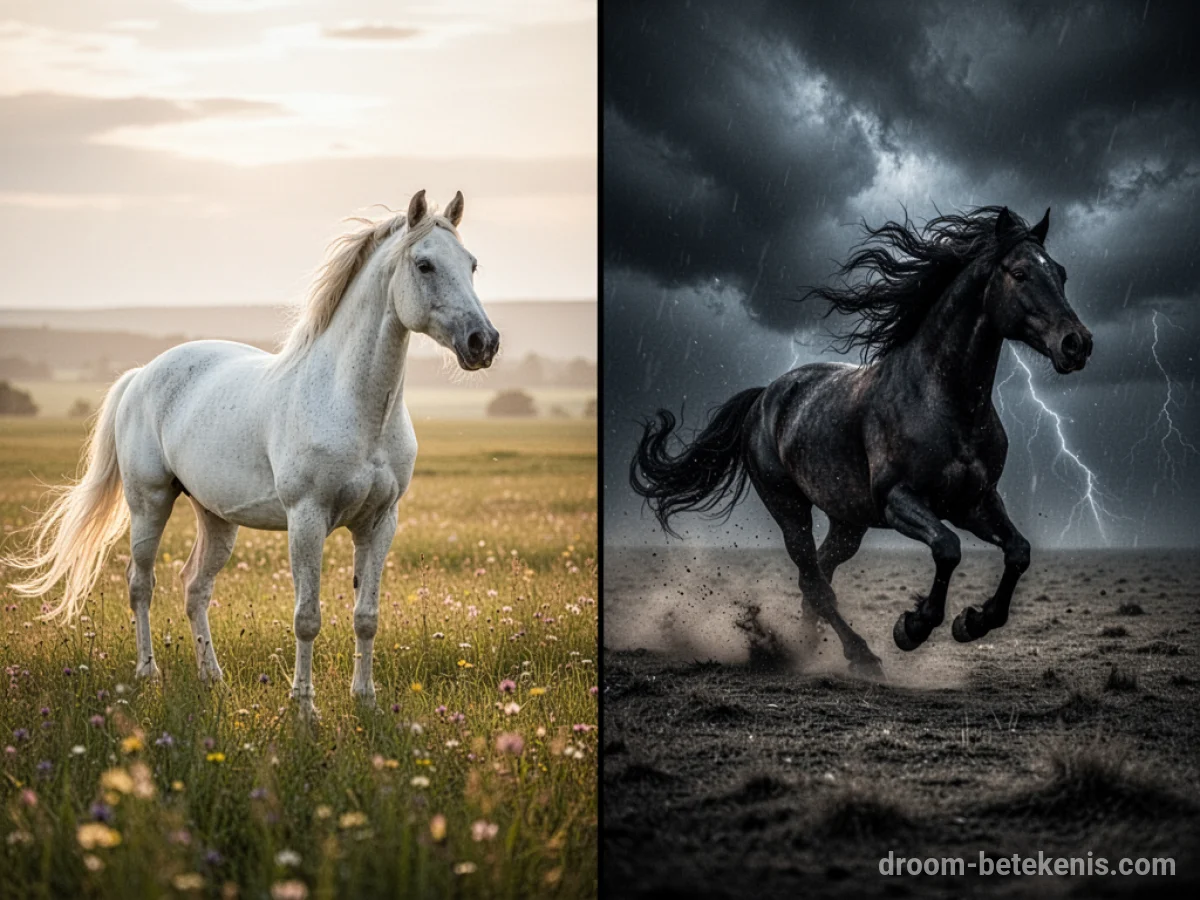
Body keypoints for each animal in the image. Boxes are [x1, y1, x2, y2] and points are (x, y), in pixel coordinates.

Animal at [4, 189, 499, 718]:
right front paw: (304, 708)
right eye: (424, 264)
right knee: (142, 584)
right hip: (149, 503)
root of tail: (141, 375)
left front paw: (366, 700)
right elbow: (307, 617)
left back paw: (212, 676)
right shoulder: (307, 518)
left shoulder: (380, 522)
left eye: (472, 264)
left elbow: (366, 616)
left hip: (217, 518)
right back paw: (148, 674)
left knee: (194, 587)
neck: (352, 404)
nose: (483, 342)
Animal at [630, 206, 1092, 677]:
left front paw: (972, 622)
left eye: (1061, 273)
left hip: (847, 521)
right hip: (789, 507)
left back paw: (810, 646)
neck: (946, 403)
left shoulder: (974, 501)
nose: (1077, 344)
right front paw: (912, 627)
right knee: (814, 579)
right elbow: (947, 548)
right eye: (1019, 273)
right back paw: (860, 655)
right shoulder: (899, 500)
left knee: (820, 575)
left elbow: (1019, 551)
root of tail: (764, 396)